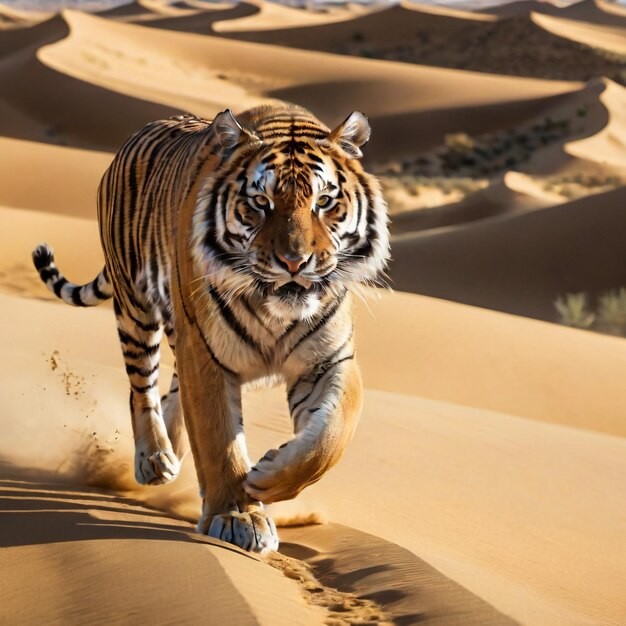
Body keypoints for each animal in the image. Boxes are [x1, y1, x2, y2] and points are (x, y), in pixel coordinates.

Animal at [33, 102, 390, 552]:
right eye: (260, 201)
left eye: (324, 201)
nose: (294, 262)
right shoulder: (206, 354)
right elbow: (219, 437)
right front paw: (237, 516)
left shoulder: (326, 360)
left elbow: (329, 437)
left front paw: (268, 476)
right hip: (136, 309)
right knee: (141, 390)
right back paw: (155, 459)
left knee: (172, 393)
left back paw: (174, 451)